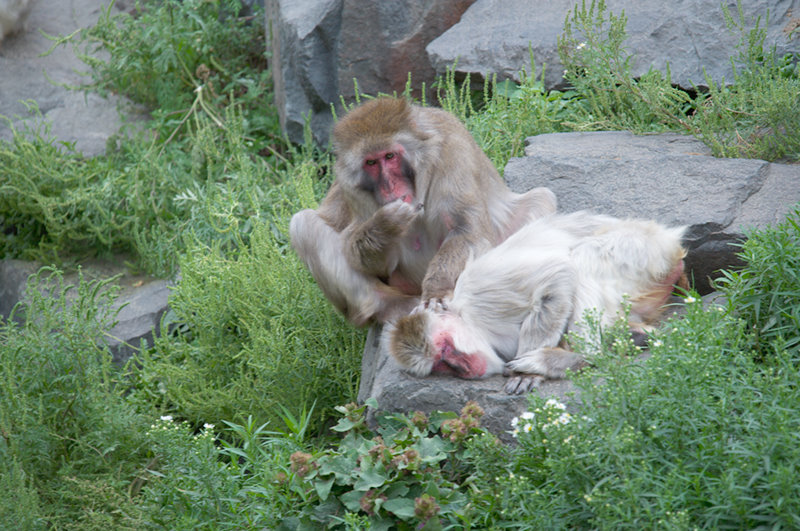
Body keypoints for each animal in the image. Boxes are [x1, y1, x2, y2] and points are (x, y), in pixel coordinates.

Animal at [290, 97, 556, 326]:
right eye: (371, 163)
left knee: (541, 200)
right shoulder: (350, 188)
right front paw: (385, 226)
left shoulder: (453, 152)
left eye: (390, 156)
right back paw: (388, 305)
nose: (389, 186)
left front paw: (437, 291)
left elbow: (467, 230)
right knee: (302, 224)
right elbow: (363, 257)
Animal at [386, 212, 688, 394]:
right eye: (440, 365)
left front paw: (531, 371)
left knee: (582, 259)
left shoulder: (484, 293)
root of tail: (669, 241)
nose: (462, 369)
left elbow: (559, 274)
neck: (470, 321)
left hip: (640, 250)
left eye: (446, 350)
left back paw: (568, 358)